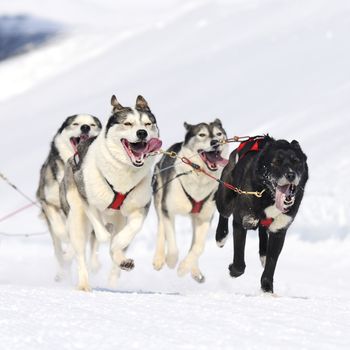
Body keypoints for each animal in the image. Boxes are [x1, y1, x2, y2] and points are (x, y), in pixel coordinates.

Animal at [37, 113, 102, 280]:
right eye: (76, 124)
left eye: (93, 125)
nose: (85, 127)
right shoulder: (47, 202)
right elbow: (61, 231)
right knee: (58, 248)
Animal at [60, 93, 163, 290]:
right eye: (128, 123)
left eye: (148, 124)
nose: (142, 133)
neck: (123, 174)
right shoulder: (88, 200)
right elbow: (101, 233)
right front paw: (106, 238)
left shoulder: (140, 207)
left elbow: (127, 233)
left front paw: (118, 248)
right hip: (76, 219)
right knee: (81, 254)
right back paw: (84, 285)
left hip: (119, 218)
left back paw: (121, 259)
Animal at [152, 119, 228, 284]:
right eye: (202, 134)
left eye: (219, 134)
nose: (215, 142)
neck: (199, 175)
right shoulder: (168, 210)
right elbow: (172, 243)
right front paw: (172, 261)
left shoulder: (205, 218)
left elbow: (198, 247)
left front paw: (184, 268)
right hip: (160, 201)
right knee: (161, 229)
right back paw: (159, 259)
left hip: (196, 218)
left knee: (194, 242)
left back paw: (194, 270)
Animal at [215, 135, 308, 294]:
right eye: (276, 162)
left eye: (296, 161)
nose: (291, 175)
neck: (268, 195)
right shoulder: (241, 221)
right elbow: (239, 264)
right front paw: (233, 270)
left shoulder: (279, 231)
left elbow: (271, 263)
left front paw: (267, 288)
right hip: (226, 197)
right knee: (224, 212)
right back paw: (221, 236)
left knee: (262, 231)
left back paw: (263, 253)